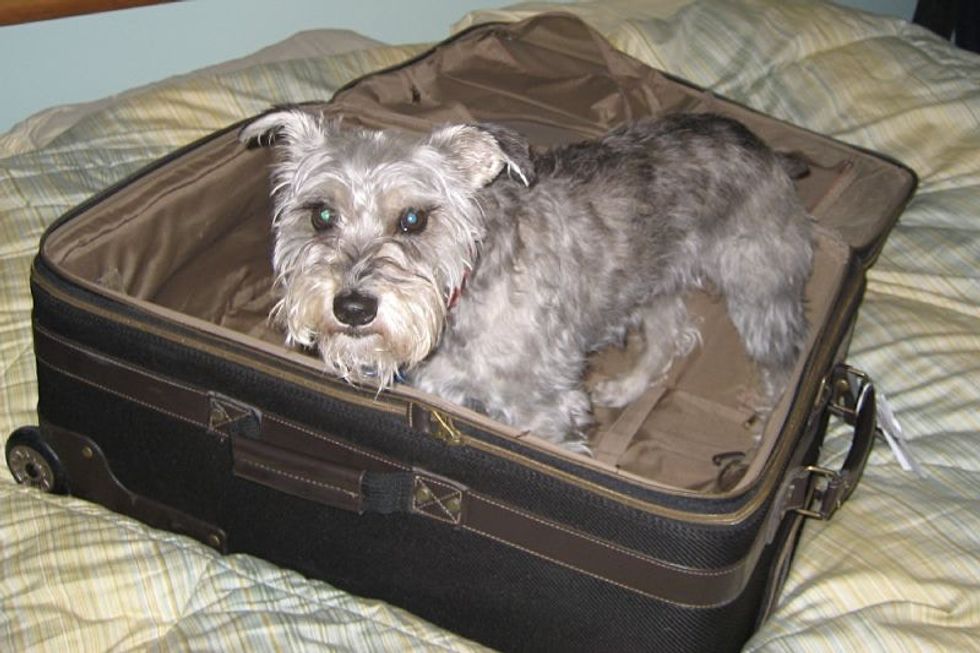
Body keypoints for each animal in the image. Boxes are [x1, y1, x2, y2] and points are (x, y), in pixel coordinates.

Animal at [237, 111, 812, 454]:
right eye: (321, 215)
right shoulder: (446, 390)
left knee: (782, 365)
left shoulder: (543, 413)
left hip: (761, 291)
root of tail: (759, 142)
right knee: (671, 336)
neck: (462, 292)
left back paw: (767, 429)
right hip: (651, 283)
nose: (353, 307)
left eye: (413, 219)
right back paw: (625, 387)